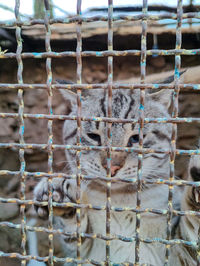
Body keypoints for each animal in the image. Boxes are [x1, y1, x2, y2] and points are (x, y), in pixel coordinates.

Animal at [34, 73, 198, 266]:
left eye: (136, 138)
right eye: (93, 136)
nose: (111, 167)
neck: (120, 202)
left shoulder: (176, 250)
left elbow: (191, 227)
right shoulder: (82, 254)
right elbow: (76, 232)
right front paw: (59, 195)